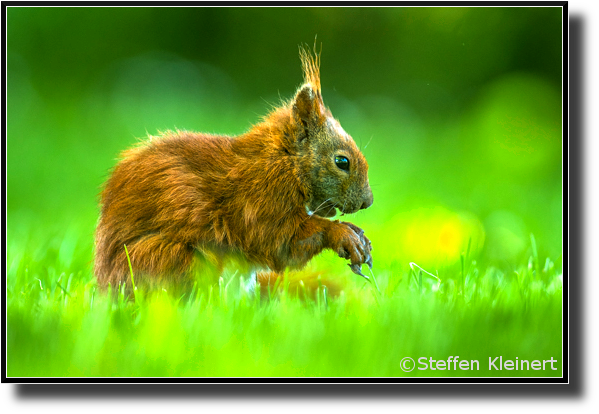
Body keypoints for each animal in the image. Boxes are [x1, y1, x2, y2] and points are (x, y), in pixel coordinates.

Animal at [94, 47, 372, 294]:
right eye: (342, 162)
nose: (367, 202)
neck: (283, 162)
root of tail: (105, 287)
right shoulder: (257, 201)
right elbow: (278, 242)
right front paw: (342, 233)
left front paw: (357, 234)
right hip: (168, 258)